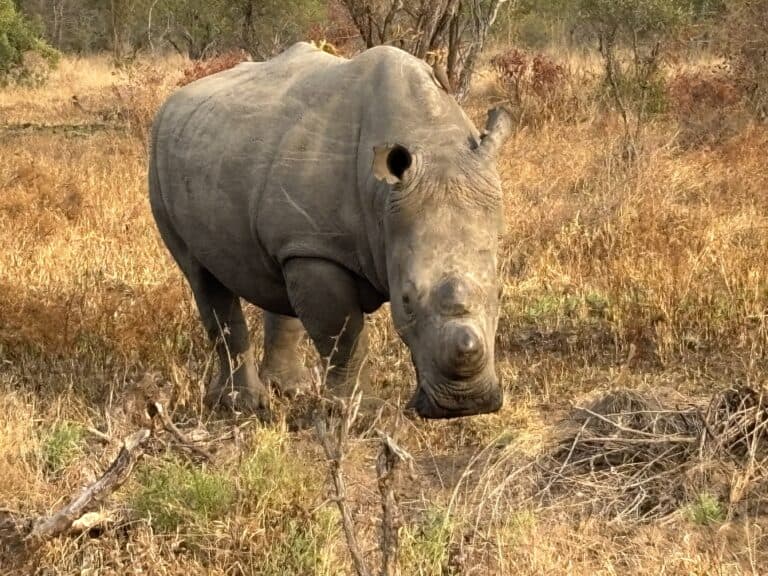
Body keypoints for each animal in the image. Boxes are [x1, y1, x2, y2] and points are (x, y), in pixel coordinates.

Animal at [149, 42, 512, 419]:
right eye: (407, 301)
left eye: (501, 294)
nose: (464, 404)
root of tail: (172, 101)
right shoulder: (320, 248)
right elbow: (344, 337)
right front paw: (361, 416)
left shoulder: (310, 240)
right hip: (160, 157)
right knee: (202, 276)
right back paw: (244, 405)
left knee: (278, 275)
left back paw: (290, 389)